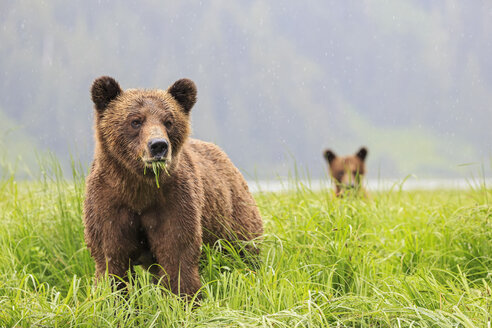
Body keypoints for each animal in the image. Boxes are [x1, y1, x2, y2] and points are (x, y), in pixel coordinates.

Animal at [82, 76, 264, 298]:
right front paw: (113, 299)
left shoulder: (173, 200)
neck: (139, 188)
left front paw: (185, 298)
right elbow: (111, 259)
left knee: (245, 250)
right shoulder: (109, 202)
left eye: (168, 121)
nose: (158, 145)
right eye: (135, 121)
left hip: (233, 215)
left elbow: (177, 252)